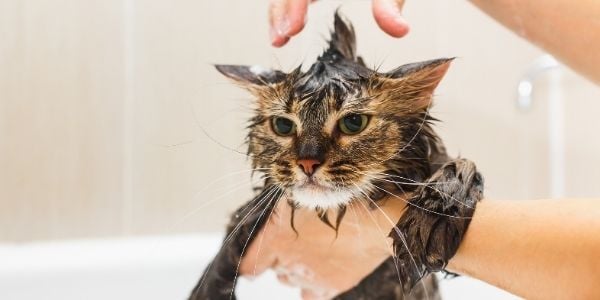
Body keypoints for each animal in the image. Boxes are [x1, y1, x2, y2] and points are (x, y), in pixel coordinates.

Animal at [190, 12, 486, 300]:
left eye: (353, 123)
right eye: (283, 126)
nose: (307, 162)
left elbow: (464, 165)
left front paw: (435, 214)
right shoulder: (247, 214)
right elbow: (222, 259)